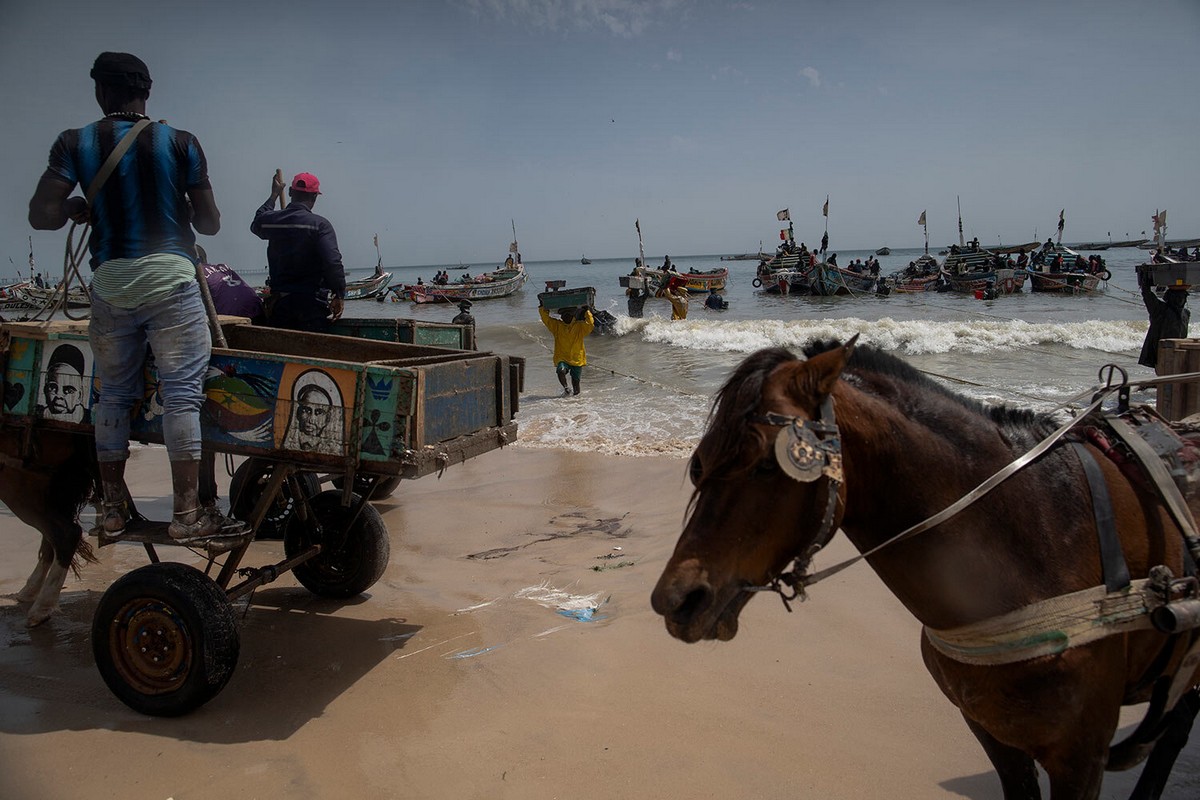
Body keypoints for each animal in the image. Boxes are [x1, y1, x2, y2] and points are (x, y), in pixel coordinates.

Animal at [652, 340, 1200, 800]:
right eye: (700, 464)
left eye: (767, 465)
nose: (674, 600)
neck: (1043, 539)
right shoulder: (994, 735)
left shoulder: (1081, 757)